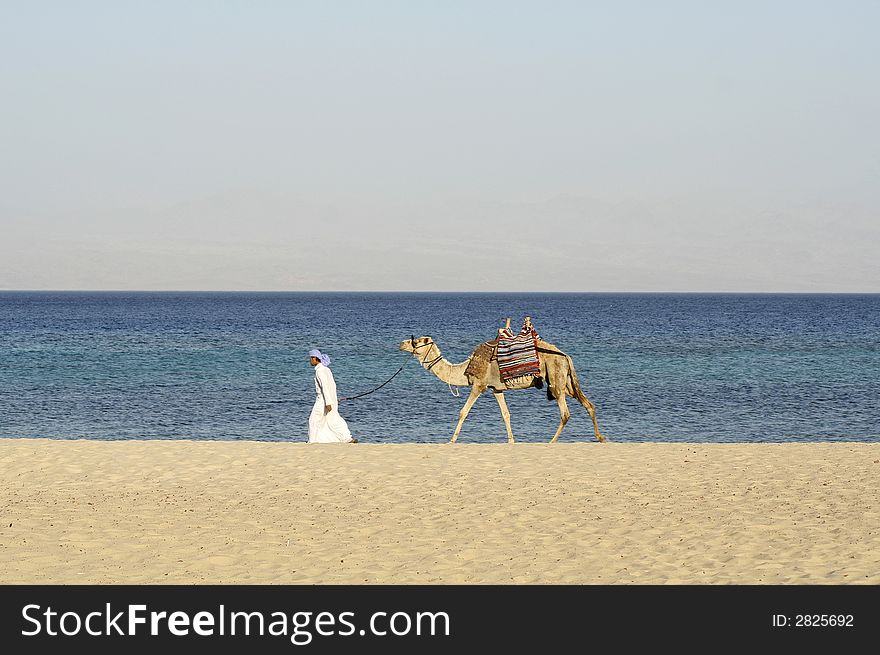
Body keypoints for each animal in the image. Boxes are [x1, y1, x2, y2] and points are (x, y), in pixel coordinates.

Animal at [398, 326, 604, 444]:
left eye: (416, 341)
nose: (401, 343)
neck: (465, 369)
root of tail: (565, 355)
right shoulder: (496, 389)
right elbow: (506, 414)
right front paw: (512, 441)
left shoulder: (479, 385)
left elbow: (463, 412)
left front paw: (451, 440)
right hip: (566, 381)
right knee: (588, 404)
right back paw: (600, 438)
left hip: (555, 377)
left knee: (565, 413)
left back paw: (551, 442)